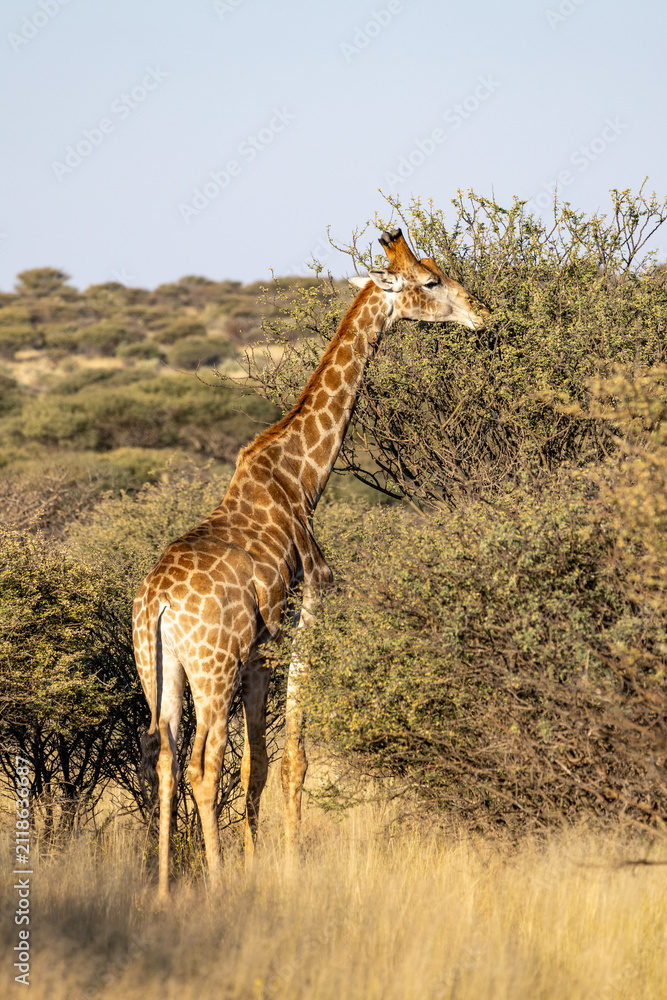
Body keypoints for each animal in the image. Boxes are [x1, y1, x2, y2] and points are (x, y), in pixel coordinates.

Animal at [132, 227, 490, 898]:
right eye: (431, 281)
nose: (481, 315)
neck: (302, 476)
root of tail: (160, 603)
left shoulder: (259, 647)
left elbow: (257, 764)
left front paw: (257, 862)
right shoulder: (311, 602)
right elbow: (292, 754)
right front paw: (289, 867)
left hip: (158, 668)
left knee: (163, 757)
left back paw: (165, 888)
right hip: (211, 666)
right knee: (200, 764)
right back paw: (213, 884)